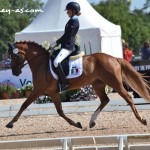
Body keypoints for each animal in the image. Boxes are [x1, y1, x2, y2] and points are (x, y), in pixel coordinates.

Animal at [6, 41, 149, 129]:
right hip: (97, 85)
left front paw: (10, 123)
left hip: (115, 83)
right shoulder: (52, 92)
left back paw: (142, 119)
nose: (14, 72)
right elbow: (60, 111)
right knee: (105, 100)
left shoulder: (38, 90)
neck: (41, 63)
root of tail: (114, 58)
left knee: (128, 98)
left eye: (14, 56)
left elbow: (24, 105)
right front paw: (76, 124)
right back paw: (92, 121)